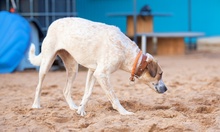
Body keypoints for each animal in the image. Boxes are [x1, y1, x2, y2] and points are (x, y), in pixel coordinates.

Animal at [29, 17, 167, 115]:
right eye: (160, 74)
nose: (166, 89)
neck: (124, 50)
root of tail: (53, 23)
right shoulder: (102, 74)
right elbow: (114, 97)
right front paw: (124, 112)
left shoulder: (93, 72)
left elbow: (88, 93)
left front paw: (81, 110)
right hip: (46, 63)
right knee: (38, 87)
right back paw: (36, 105)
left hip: (73, 68)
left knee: (66, 90)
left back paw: (73, 107)